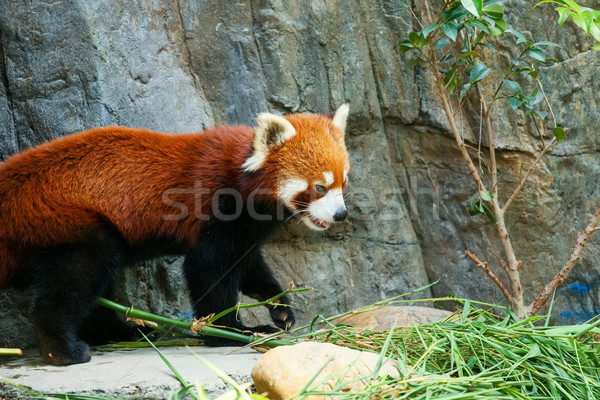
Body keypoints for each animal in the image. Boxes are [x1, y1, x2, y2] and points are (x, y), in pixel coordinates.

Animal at [0, 104, 352, 366]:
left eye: (343, 182)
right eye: (320, 187)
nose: (341, 214)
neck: (241, 179)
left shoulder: (244, 232)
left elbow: (253, 268)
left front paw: (281, 308)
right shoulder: (214, 213)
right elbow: (209, 276)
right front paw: (230, 331)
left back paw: (123, 333)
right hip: (62, 220)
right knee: (74, 282)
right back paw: (64, 350)